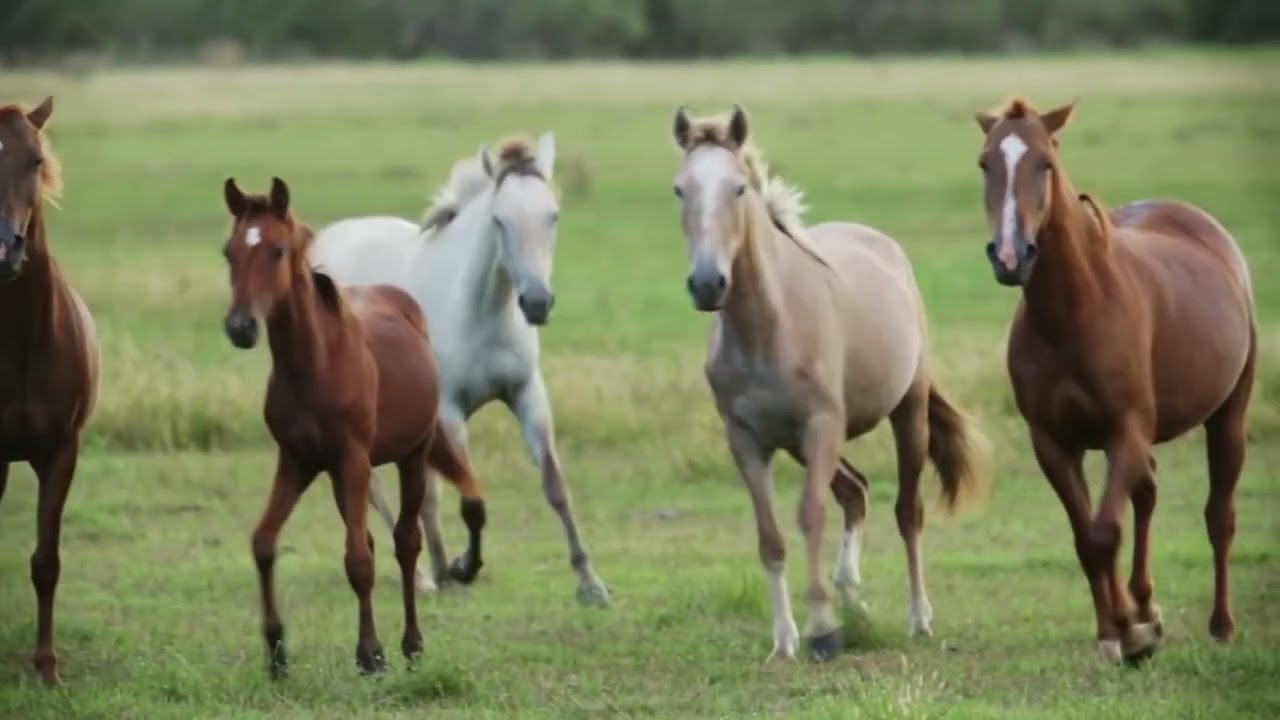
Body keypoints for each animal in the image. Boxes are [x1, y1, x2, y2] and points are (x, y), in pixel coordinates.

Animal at [220, 176, 486, 677]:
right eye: (229, 252)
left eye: (277, 251)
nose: (240, 328)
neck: (315, 365)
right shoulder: (298, 462)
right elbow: (264, 543)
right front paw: (276, 650)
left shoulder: (354, 459)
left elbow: (360, 559)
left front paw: (371, 653)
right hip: (341, 477)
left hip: (412, 455)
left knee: (405, 542)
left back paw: (412, 643)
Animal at [309, 133, 609, 606]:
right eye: (500, 221)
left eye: (553, 215)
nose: (537, 302)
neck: (481, 309)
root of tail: (320, 244)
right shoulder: (449, 412)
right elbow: (470, 498)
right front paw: (463, 568)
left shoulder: (527, 394)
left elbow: (554, 485)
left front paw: (589, 581)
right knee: (371, 489)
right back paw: (424, 578)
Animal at [669, 105, 990, 661]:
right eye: (680, 189)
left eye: (738, 188)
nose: (708, 284)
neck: (767, 327)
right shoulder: (747, 440)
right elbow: (772, 537)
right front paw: (784, 639)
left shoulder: (821, 426)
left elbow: (810, 516)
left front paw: (821, 629)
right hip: (804, 444)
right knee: (856, 492)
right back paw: (853, 599)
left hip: (906, 414)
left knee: (907, 511)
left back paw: (917, 617)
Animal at [972, 97, 1257, 664]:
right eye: (985, 164)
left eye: (1046, 162)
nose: (1011, 257)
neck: (1076, 311)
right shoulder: (1054, 443)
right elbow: (1087, 538)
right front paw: (1117, 630)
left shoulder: (1126, 429)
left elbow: (1105, 531)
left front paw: (1131, 631)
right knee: (1146, 497)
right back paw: (1147, 606)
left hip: (1227, 416)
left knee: (1220, 515)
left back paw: (1221, 625)